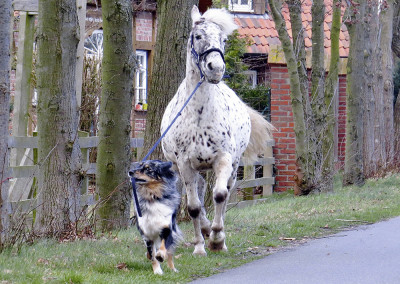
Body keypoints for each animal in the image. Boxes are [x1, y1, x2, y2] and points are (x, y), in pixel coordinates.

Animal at [161, 6, 274, 255]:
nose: (216, 68)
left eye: (223, 39)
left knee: (224, 192)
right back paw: (203, 229)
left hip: (231, 165)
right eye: (197, 36)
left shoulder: (223, 159)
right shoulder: (184, 164)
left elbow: (220, 195)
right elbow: (193, 206)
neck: (200, 114)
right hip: (185, 169)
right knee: (197, 194)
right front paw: (199, 247)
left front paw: (217, 240)